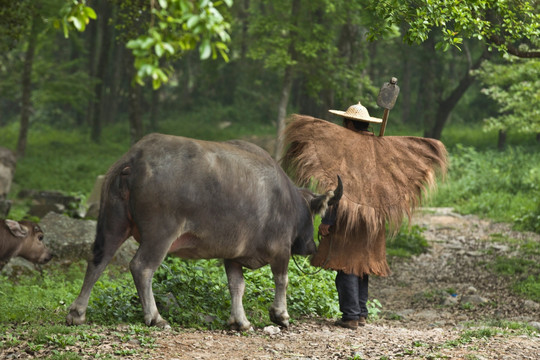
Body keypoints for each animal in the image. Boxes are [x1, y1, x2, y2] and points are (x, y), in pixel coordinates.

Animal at [65, 134, 340, 330]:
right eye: (314, 215)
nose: (312, 246)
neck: (287, 200)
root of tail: (132, 159)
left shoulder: (233, 254)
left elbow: (237, 285)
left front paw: (240, 321)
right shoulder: (281, 249)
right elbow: (281, 280)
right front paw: (280, 315)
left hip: (114, 223)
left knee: (98, 260)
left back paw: (77, 313)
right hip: (160, 234)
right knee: (141, 267)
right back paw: (155, 317)